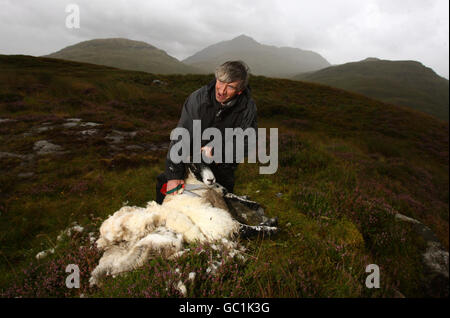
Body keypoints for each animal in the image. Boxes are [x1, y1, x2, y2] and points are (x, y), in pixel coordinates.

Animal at [89, 161, 276, 286]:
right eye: (193, 165)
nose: (211, 179)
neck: (195, 186)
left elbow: (233, 197)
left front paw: (251, 203)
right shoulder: (223, 220)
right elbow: (247, 225)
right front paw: (269, 224)